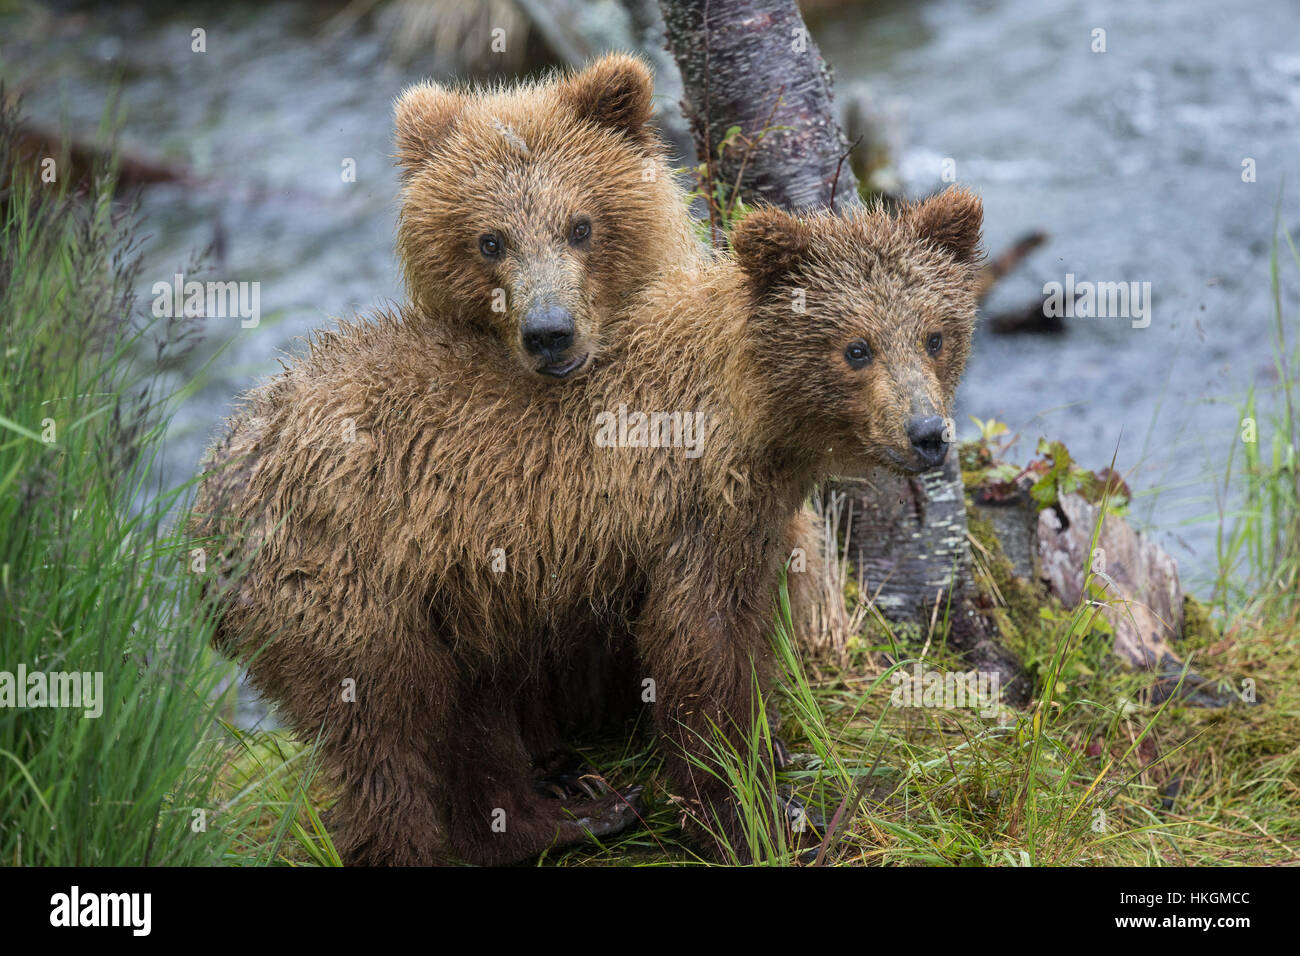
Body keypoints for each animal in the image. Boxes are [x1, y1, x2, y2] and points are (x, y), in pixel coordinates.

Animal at [191, 187, 983, 865]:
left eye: (935, 335)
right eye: (857, 347)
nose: (926, 434)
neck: (752, 419)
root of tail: (207, 496)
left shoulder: (749, 521)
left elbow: (749, 633)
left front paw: (773, 756)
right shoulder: (685, 513)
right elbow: (698, 653)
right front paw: (754, 817)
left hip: (446, 593)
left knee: (464, 711)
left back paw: (567, 815)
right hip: (344, 586)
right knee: (389, 729)